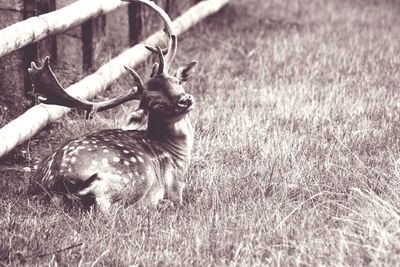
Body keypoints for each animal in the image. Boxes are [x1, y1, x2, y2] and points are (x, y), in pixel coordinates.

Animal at [27, 0, 197, 214]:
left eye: (177, 81)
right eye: (153, 103)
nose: (185, 99)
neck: (177, 156)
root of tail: (59, 179)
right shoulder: (175, 187)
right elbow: (179, 197)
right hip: (134, 174)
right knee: (107, 209)